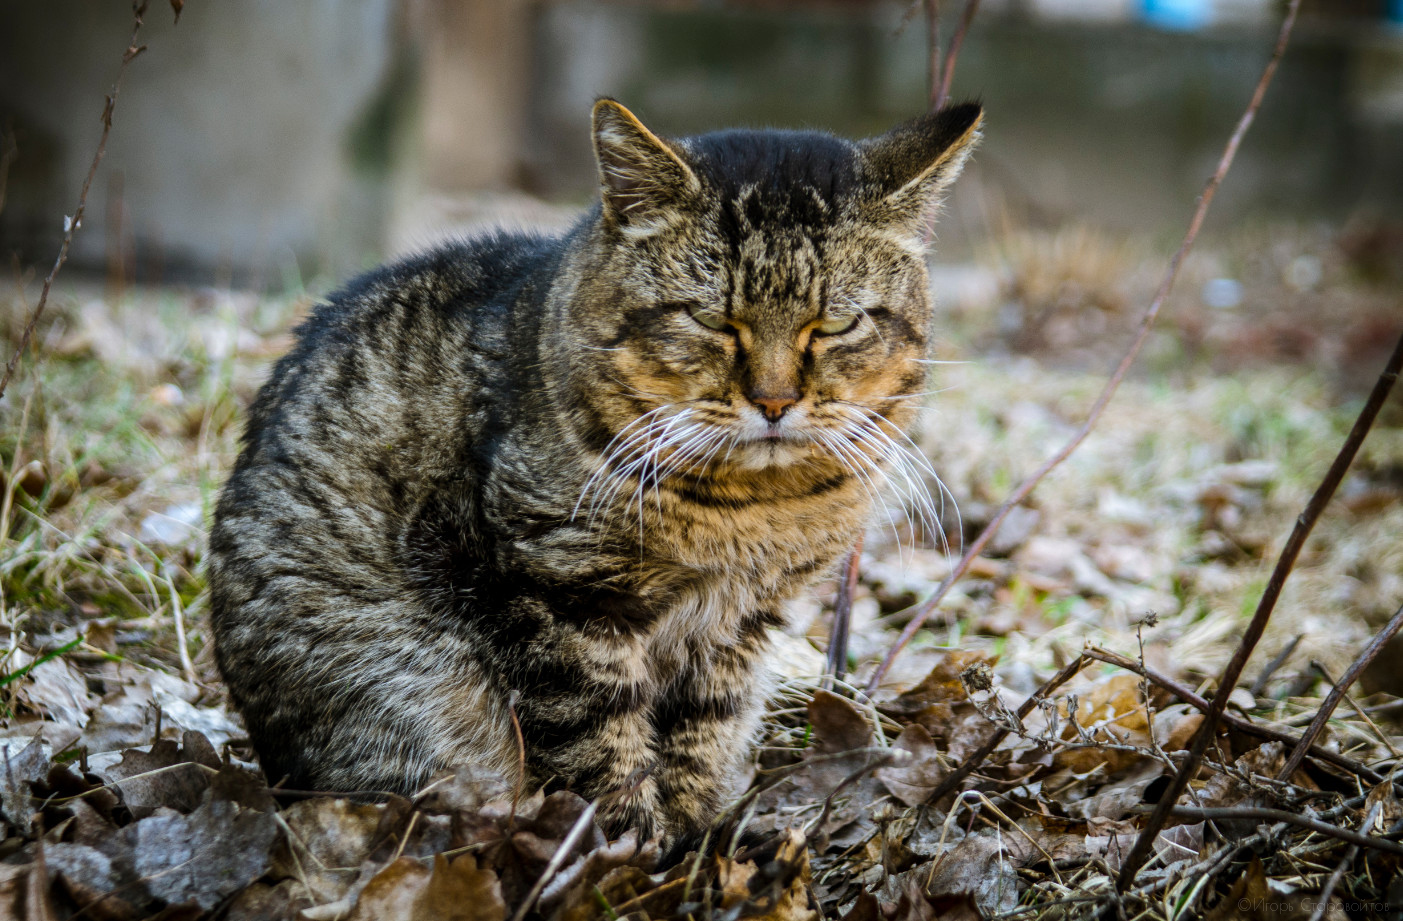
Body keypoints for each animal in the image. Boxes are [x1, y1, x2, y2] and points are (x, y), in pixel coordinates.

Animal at [207, 96, 982, 847]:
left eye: (836, 324)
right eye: (710, 319)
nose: (773, 401)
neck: (753, 512)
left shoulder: (739, 628)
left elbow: (704, 732)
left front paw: (694, 836)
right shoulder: (552, 597)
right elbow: (595, 741)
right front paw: (626, 850)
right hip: (401, 680)